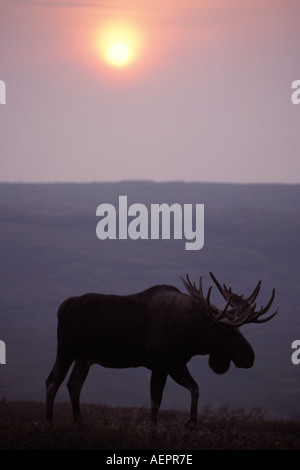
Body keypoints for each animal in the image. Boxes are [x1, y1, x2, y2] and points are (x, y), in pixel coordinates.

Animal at [45, 272, 278, 426]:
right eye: (227, 330)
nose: (249, 356)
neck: (190, 333)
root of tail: (61, 308)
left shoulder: (176, 365)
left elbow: (195, 388)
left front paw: (190, 424)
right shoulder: (160, 365)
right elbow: (156, 403)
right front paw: (153, 435)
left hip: (84, 357)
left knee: (74, 385)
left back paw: (80, 426)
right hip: (66, 349)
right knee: (53, 381)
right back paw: (49, 425)